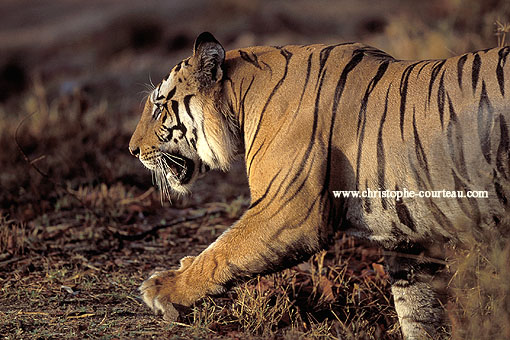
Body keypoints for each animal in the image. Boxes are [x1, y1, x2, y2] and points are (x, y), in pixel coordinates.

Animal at [128, 32, 510, 340]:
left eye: (159, 108)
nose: (133, 150)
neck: (241, 102)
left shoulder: (286, 211)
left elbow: (220, 252)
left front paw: (163, 288)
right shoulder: (409, 235)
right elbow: (418, 310)